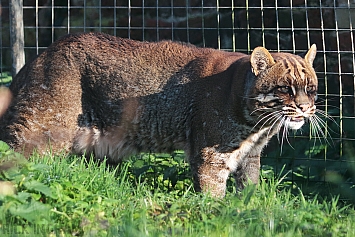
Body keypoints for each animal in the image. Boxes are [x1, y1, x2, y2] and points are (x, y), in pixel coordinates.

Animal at [0, 32, 322, 198]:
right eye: (285, 89)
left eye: (312, 90)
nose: (305, 108)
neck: (255, 122)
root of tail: (40, 56)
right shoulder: (211, 154)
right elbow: (212, 191)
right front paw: (217, 212)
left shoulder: (250, 155)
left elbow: (250, 188)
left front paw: (250, 209)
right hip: (43, 129)